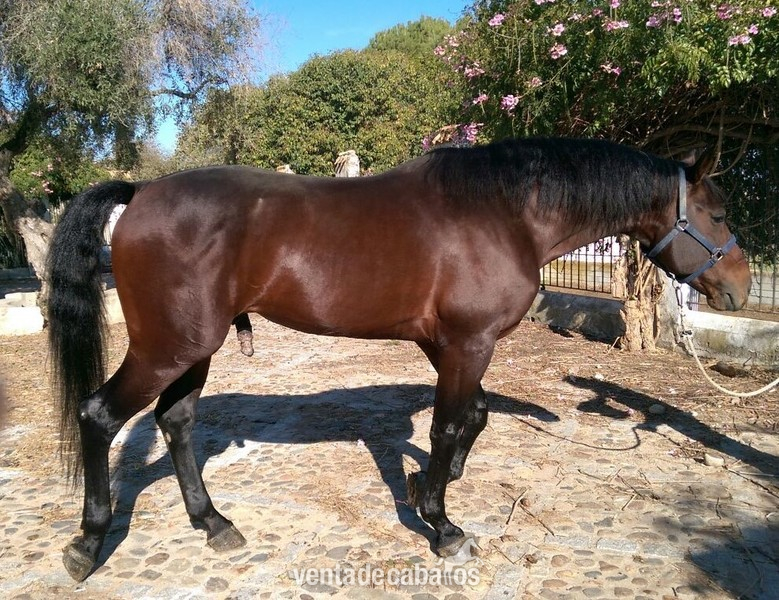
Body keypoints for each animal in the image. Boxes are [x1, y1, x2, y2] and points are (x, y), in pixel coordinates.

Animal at [46, 137, 751, 581]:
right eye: (718, 214)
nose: (741, 290)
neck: (501, 214)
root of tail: (140, 193)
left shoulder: (446, 346)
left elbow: (473, 418)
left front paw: (427, 484)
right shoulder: (469, 343)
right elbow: (448, 425)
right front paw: (442, 524)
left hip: (193, 350)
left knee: (177, 422)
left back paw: (213, 523)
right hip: (168, 349)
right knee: (99, 415)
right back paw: (87, 544)